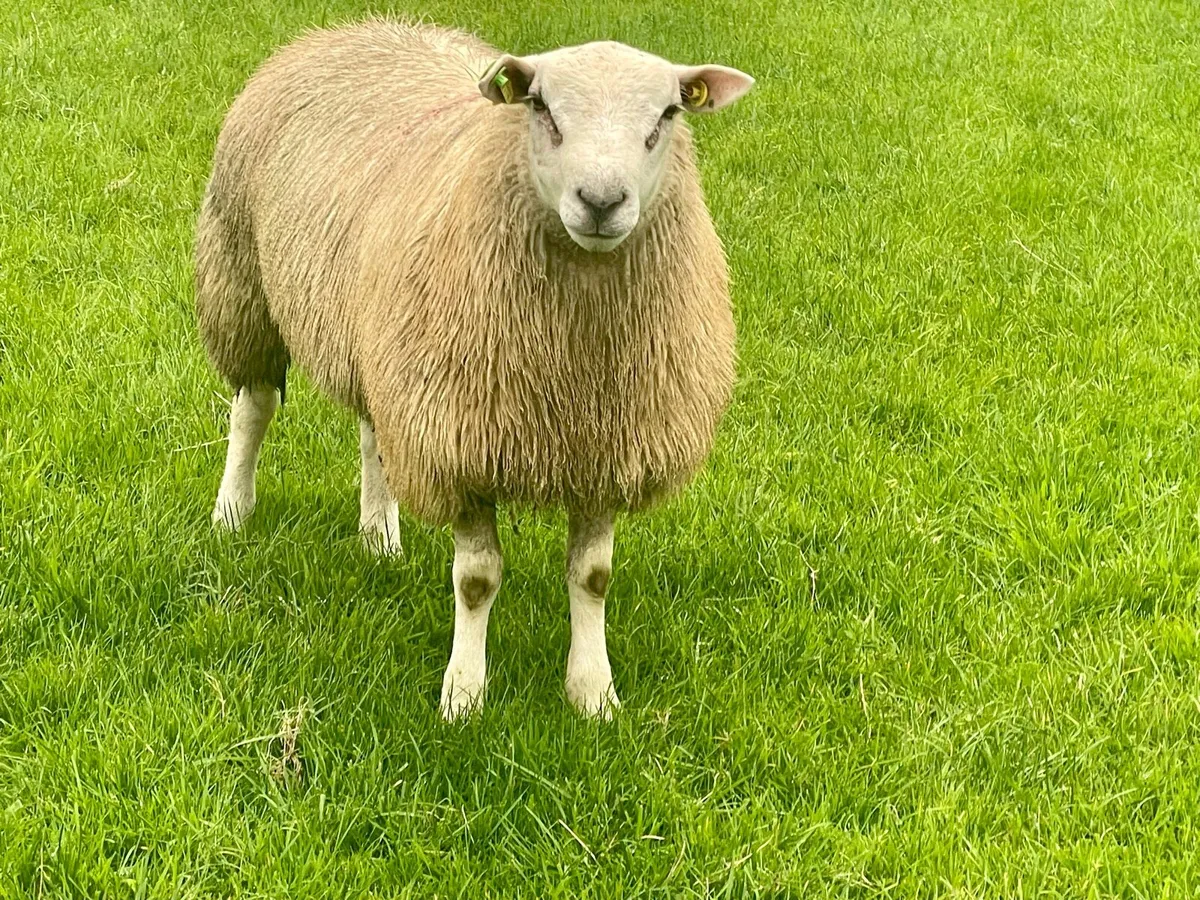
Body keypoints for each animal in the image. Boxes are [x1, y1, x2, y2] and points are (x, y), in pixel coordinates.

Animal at [195, 19, 753, 720]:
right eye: (540, 107)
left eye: (668, 114)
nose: (600, 201)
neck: (576, 355)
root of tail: (349, 28)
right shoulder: (459, 441)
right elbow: (476, 580)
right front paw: (464, 695)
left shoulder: (604, 446)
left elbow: (593, 577)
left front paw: (593, 693)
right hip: (241, 277)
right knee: (254, 407)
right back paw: (232, 511)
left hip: (387, 344)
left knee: (374, 433)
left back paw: (379, 536)